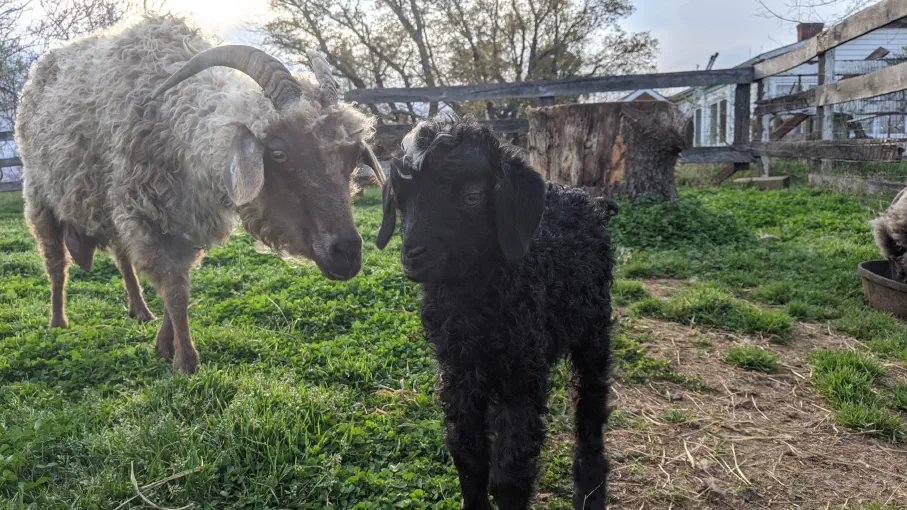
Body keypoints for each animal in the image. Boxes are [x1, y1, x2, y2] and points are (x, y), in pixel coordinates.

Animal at [15, 14, 385, 374]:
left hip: (107, 203)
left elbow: (176, 285)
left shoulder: (183, 222)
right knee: (55, 263)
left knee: (122, 257)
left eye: (353, 155)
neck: (175, 123)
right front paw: (187, 362)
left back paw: (139, 310)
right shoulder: (148, 215)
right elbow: (175, 290)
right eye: (278, 153)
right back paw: (58, 320)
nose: (347, 253)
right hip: (40, 195)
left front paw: (164, 344)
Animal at [375, 119, 614, 509]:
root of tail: (587, 200)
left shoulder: (522, 373)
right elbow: (467, 455)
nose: (413, 255)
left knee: (591, 407)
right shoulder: (457, 370)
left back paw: (589, 491)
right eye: (401, 198)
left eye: (472, 197)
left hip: (594, 326)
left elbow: (510, 475)